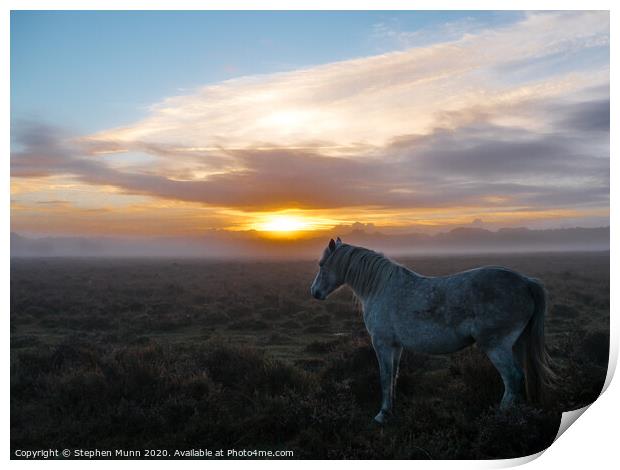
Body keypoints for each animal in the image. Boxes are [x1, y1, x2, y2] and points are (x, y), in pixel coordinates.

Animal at [312, 237, 556, 424]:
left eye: (322, 264)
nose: (314, 292)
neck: (379, 288)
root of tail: (526, 282)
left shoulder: (382, 344)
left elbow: (384, 377)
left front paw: (382, 415)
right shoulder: (395, 346)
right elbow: (393, 376)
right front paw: (391, 410)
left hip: (496, 346)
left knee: (512, 377)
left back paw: (501, 416)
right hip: (516, 344)